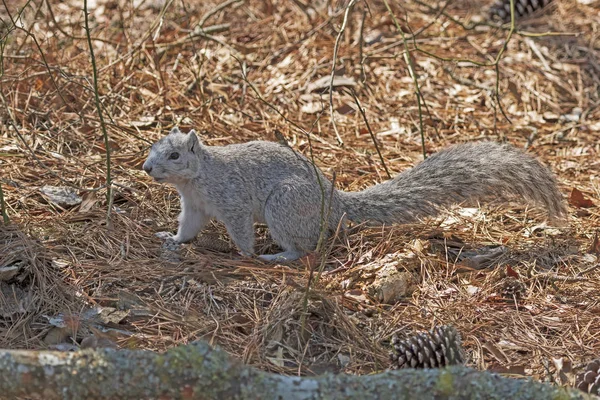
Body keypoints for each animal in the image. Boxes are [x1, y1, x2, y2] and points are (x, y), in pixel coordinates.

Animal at [144, 126, 568, 260]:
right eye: (152, 147)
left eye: (175, 155)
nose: (147, 168)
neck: (196, 179)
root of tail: (335, 204)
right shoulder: (194, 206)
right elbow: (188, 227)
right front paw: (172, 239)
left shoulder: (230, 199)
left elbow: (240, 228)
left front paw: (244, 255)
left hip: (285, 204)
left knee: (305, 249)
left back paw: (277, 256)